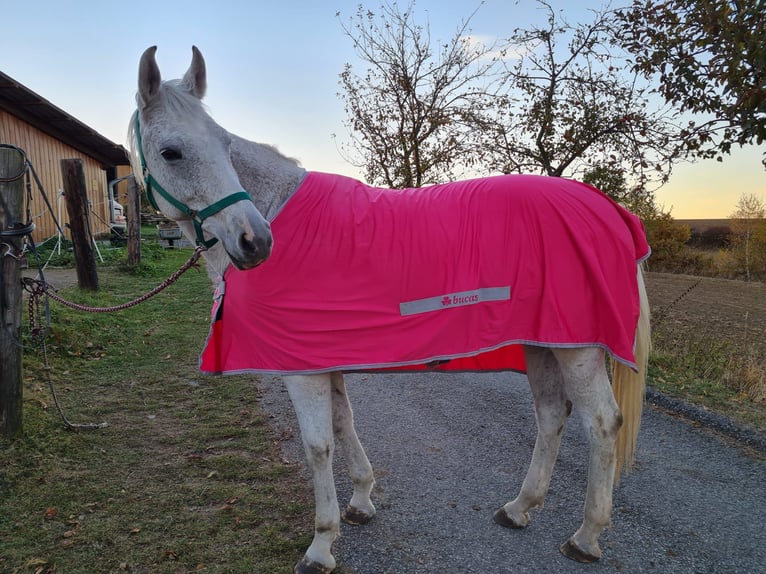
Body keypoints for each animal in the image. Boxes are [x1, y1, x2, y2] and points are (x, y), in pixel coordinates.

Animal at [128, 46, 651, 574]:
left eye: (225, 144)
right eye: (171, 152)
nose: (254, 241)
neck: (279, 208)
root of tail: (607, 207)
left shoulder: (300, 366)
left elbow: (318, 446)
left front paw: (321, 545)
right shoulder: (322, 357)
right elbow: (344, 424)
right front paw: (360, 501)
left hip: (578, 348)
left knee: (602, 423)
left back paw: (586, 536)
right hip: (543, 341)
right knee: (550, 414)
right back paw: (519, 508)